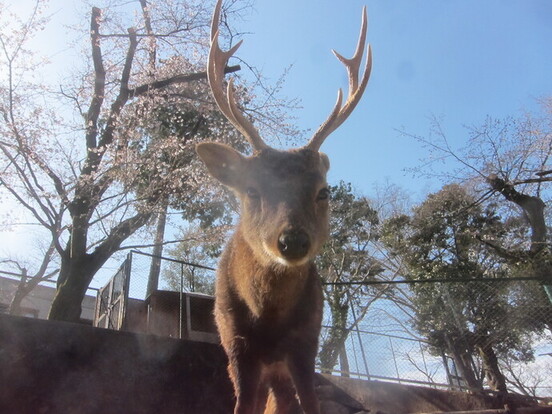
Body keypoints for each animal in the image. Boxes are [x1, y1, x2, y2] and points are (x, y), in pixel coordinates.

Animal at [196, 1, 374, 412]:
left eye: (323, 192)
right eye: (252, 190)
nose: (292, 241)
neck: (269, 320)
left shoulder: (307, 341)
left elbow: (308, 402)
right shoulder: (236, 344)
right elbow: (243, 405)